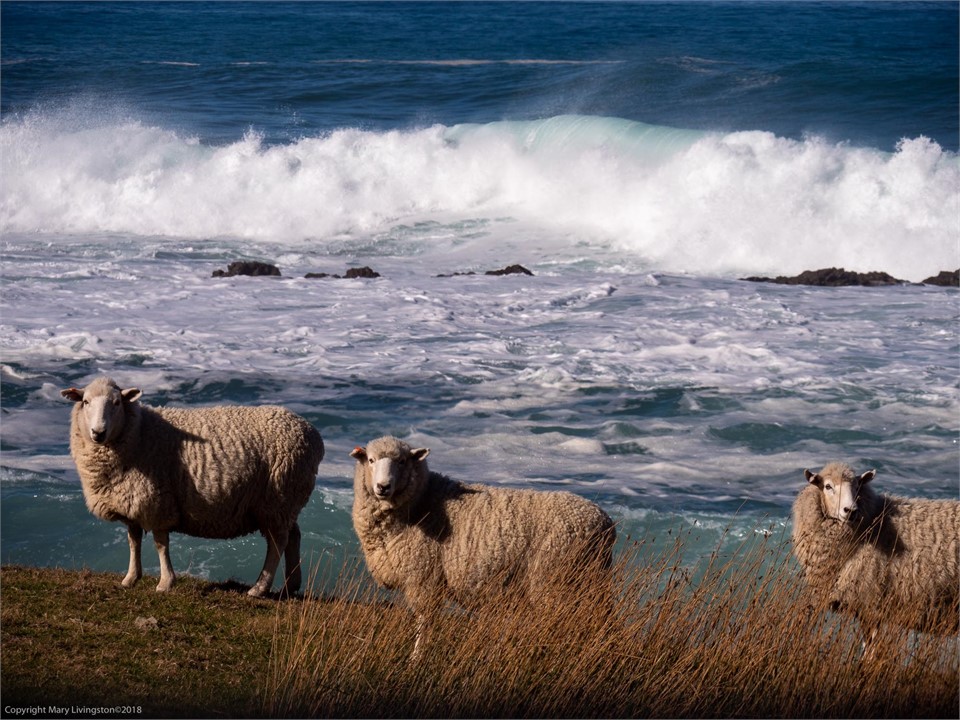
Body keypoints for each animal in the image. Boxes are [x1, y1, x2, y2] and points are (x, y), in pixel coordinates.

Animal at [61, 376, 324, 597]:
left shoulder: (157, 501)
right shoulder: (131, 503)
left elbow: (160, 543)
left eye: (116, 403)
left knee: (277, 544)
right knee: (293, 536)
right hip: (285, 501)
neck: (139, 433)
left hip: (277, 498)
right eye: (85, 402)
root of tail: (312, 434)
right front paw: (131, 578)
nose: (98, 432)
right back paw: (291, 586)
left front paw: (165, 583)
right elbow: (133, 541)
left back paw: (259, 588)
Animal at [350, 435, 616, 656]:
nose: (383, 487)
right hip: (592, 580)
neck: (423, 500)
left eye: (403, 461)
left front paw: (416, 657)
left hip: (558, 579)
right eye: (371, 460)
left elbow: (424, 621)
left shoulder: (424, 577)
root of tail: (604, 522)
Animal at [792, 461, 959, 654]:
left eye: (858, 486)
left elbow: (870, 652)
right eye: (828, 486)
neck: (871, 523)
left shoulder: (871, 604)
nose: (850, 511)